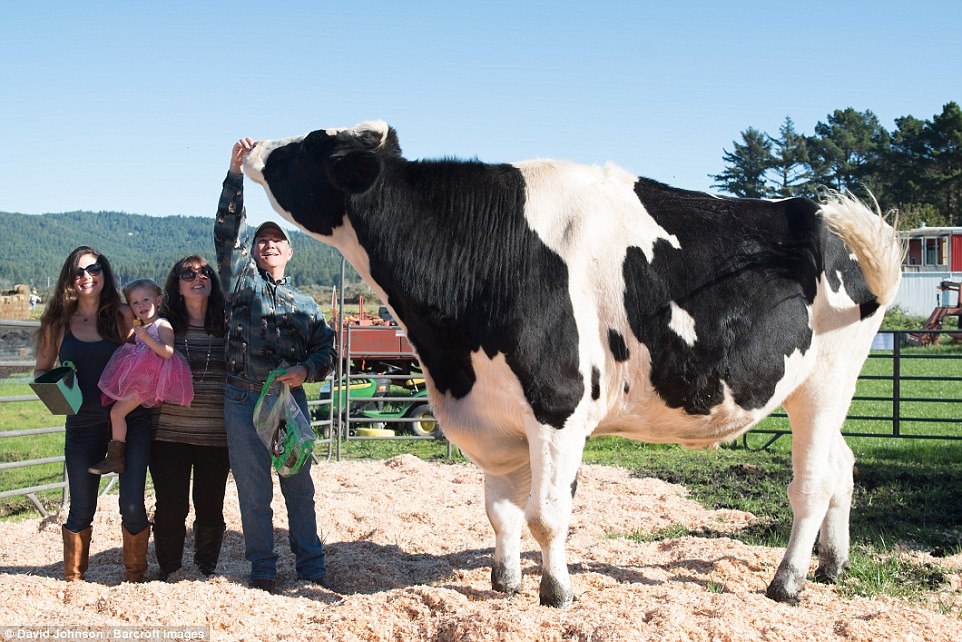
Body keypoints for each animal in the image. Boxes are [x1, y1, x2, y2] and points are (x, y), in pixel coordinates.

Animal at [240, 120, 900, 604]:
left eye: (310, 144)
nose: (250, 146)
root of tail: (817, 215)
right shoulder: (495, 412)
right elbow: (501, 511)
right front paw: (504, 583)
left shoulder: (556, 407)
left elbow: (547, 514)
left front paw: (556, 592)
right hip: (815, 392)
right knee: (843, 465)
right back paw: (833, 565)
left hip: (825, 385)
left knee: (813, 482)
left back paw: (787, 583)